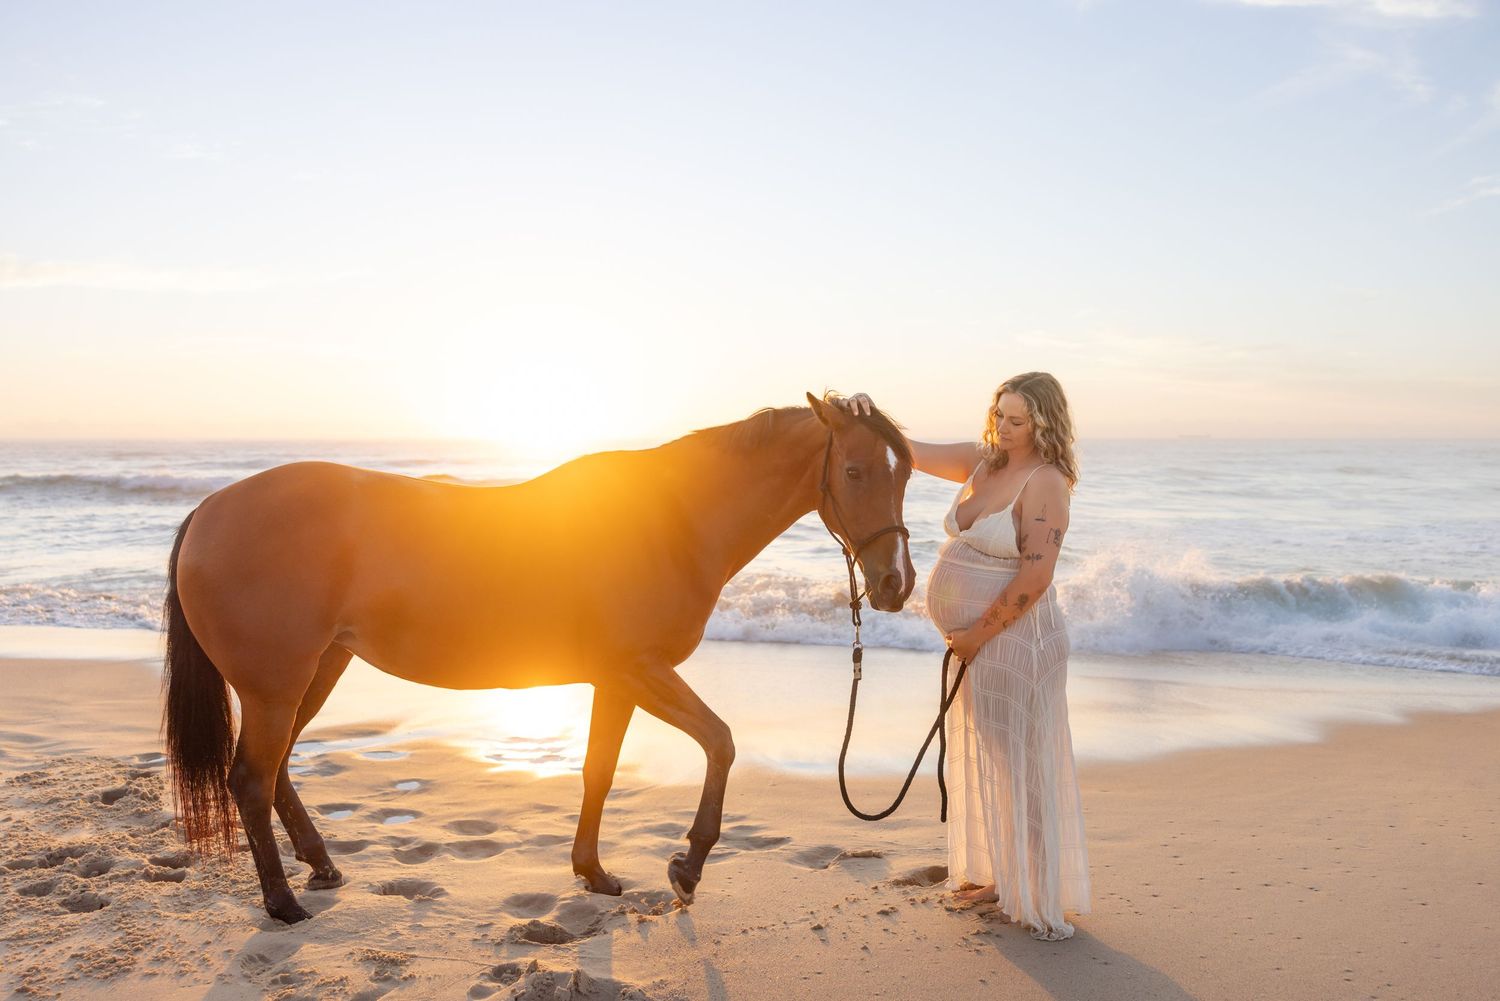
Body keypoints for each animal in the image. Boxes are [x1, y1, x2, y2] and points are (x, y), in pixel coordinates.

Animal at [162, 392, 915, 924]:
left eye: (903, 475)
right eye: (852, 470)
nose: (895, 584)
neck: (672, 520)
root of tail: (210, 509)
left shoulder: (618, 679)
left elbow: (598, 771)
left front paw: (594, 872)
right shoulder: (641, 670)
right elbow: (721, 744)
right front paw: (688, 867)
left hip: (317, 670)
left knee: (278, 768)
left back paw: (321, 867)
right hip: (276, 685)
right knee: (251, 780)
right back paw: (283, 902)